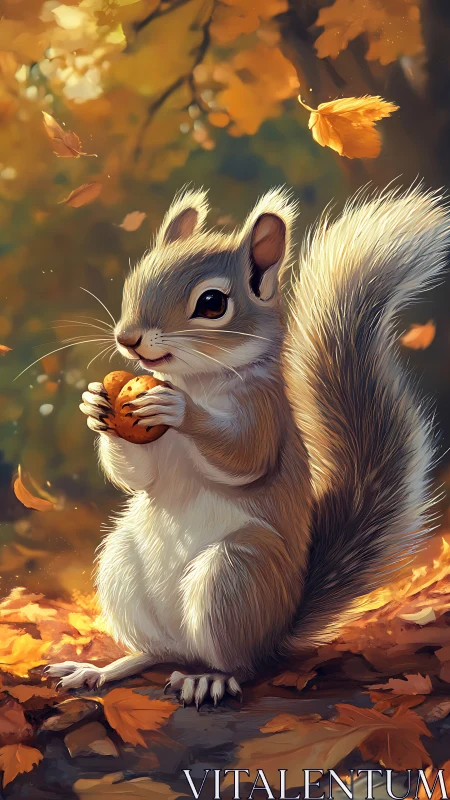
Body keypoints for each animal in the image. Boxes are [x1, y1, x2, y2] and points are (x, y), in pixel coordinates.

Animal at [45, 185, 450, 707]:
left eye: (212, 303)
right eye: (135, 279)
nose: (127, 338)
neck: (197, 379)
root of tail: (276, 633)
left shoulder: (266, 414)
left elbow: (246, 458)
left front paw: (179, 410)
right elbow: (135, 474)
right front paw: (96, 404)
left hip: (237, 575)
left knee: (238, 663)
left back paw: (209, 679)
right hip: (121, 565)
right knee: (157, 652)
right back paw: (103, 669)